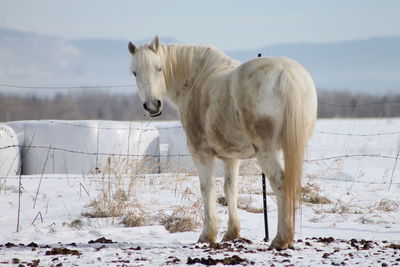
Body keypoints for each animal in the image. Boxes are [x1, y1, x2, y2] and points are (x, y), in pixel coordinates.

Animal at [127, 36, 316, 250]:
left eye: (159, 68)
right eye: (135, 72)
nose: (152, 106)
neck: (196, 80)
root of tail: (285, 75)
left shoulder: (200, 153)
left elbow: (207, 188)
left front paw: (207, 235)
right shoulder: (231, 157)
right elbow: (230, 189)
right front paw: (232, 234)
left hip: (266, 152)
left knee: (281, 183)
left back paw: (280, 239)